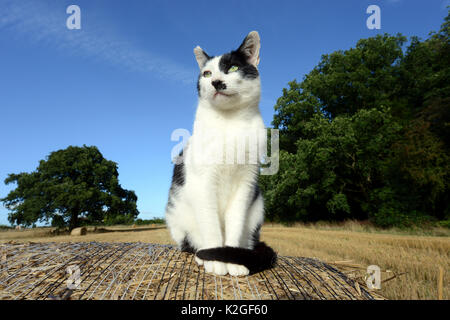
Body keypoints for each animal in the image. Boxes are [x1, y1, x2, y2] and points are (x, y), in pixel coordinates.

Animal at [165, 31, 276, 276]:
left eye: (233, 68)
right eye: (207, 73)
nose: (216, 81)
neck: (230, 123)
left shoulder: (246, 183)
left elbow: (234, 226)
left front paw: (232, 262)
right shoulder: (203, 183)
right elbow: (211, 225)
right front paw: (216, 262)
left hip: (256, 209)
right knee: (190, 243)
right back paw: (202, 255)